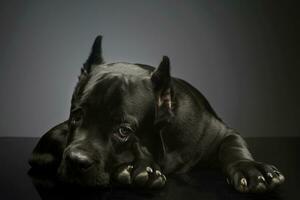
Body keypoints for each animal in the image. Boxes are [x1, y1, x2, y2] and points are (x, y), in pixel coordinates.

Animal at [29, 35, 284, 193]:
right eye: (76, 116)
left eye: (124, 131)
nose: (76, 161)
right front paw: (143, 169)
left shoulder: (221, 133)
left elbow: (234, 147)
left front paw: (250, 168)